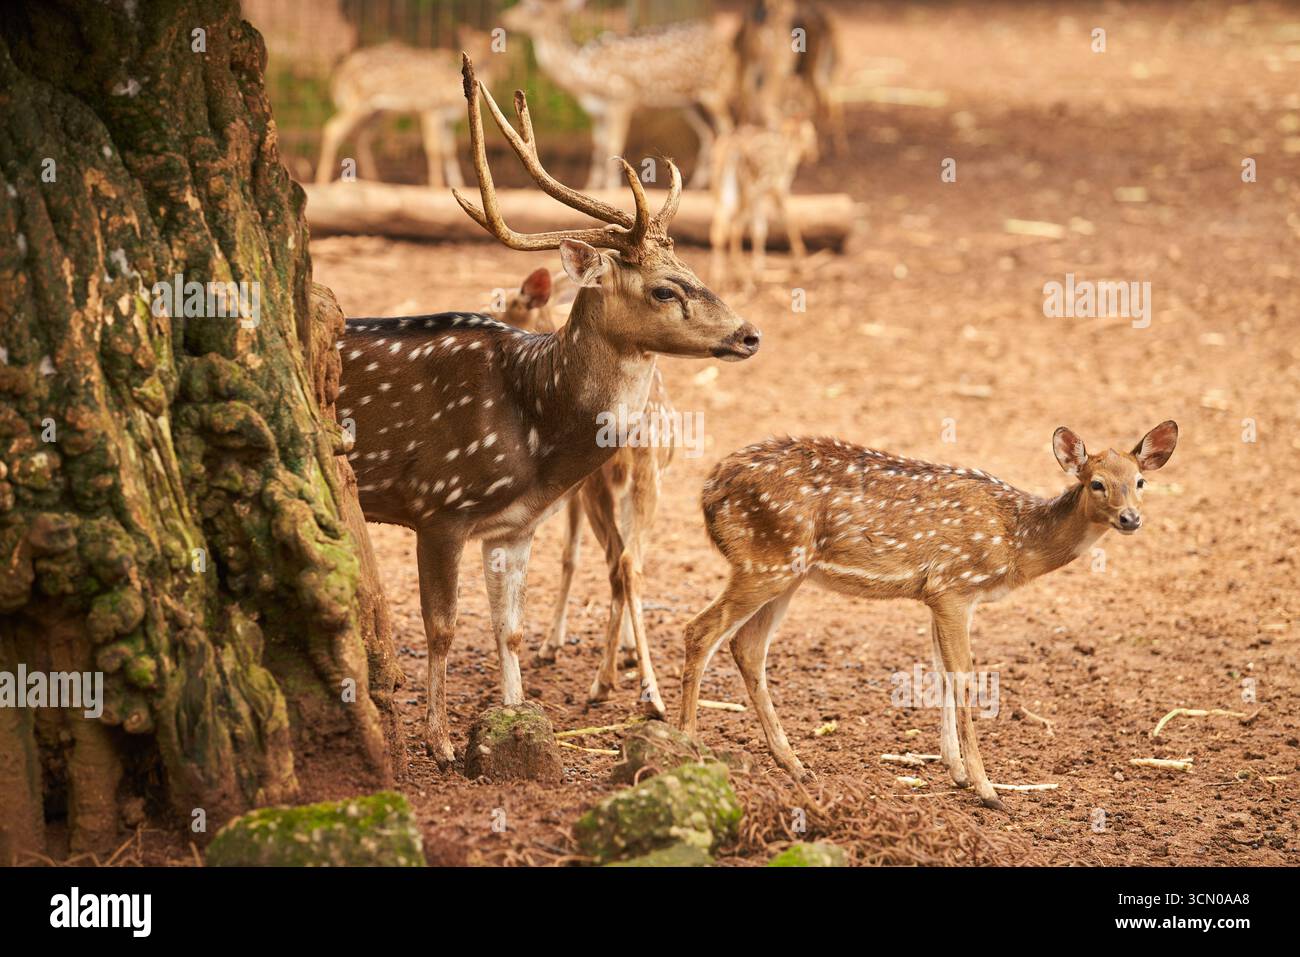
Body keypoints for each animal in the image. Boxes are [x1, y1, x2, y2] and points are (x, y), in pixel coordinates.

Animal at [315, 28, 496, 188]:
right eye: (470, 45)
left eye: (488, 49)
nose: (481, 62)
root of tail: (339, 76)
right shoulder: (429, 109)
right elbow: (434, 149)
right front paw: (436, 186)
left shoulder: (448, 119)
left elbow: (449, 150)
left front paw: (459, 185)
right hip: (358, 102)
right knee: (333, 129)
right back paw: (321, 181)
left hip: (376, 111)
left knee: (362, 136)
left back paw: (373, 180)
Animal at [488, 265, 677, 708]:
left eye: (502, 305)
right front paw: (626, 648)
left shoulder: (572, 485)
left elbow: (568, 555)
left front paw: (551, 644)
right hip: (646, 475)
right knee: (629, 560)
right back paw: (643, 688)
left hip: (596, 481)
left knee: (614, 560)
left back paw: (606, 682)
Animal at [500, 0, 736, 190]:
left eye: (534, 7)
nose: (506, 20)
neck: (584, 74)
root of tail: (726, 44)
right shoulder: (597, 111)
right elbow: (599, 146)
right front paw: (591, 186)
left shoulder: (621, 99)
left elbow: (614, 145)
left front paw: (611, 187)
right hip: (688, 101)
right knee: (709, 133)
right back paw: (698, 184)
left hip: (715, 87)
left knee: (727, 128)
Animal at [679, 421, 1179, 809]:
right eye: (1097, 482)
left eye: (1140, 481)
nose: (1131, 518)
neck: (1017, 543)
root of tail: (708, 490)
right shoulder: (954, 585)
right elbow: (964, 676)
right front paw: (987, 789)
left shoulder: (933, 596)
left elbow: (940, 672)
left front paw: (955, 771)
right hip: (766, 559)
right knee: (700, 630)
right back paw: (689, 744)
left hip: (788, 571)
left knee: (747, 646)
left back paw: (795, 765)